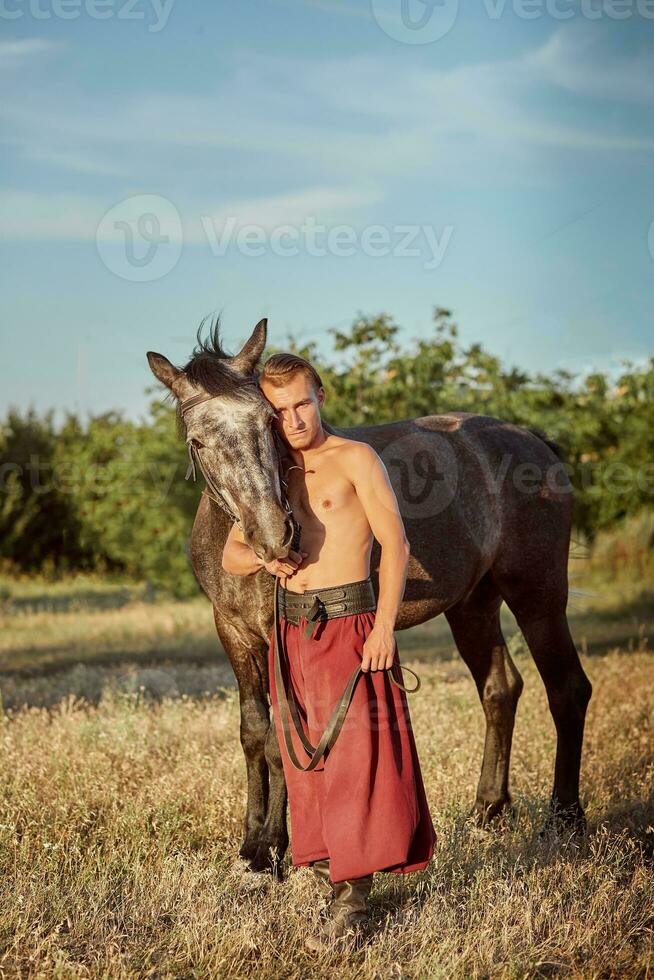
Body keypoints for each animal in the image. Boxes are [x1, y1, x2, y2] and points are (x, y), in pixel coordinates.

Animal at [147, 320, 596, 872]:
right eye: (199, 440)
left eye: (268, 422)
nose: (275, 537)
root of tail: (535, 443)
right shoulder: (233, 633)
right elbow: (254, 732)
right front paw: (252, 845)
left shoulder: (277, 639)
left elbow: (281, 739)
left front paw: (272, 849)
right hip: (473, 606)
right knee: (500, 688)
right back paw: (486, 811)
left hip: (538, 596)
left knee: (567, 689)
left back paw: (564, 820)